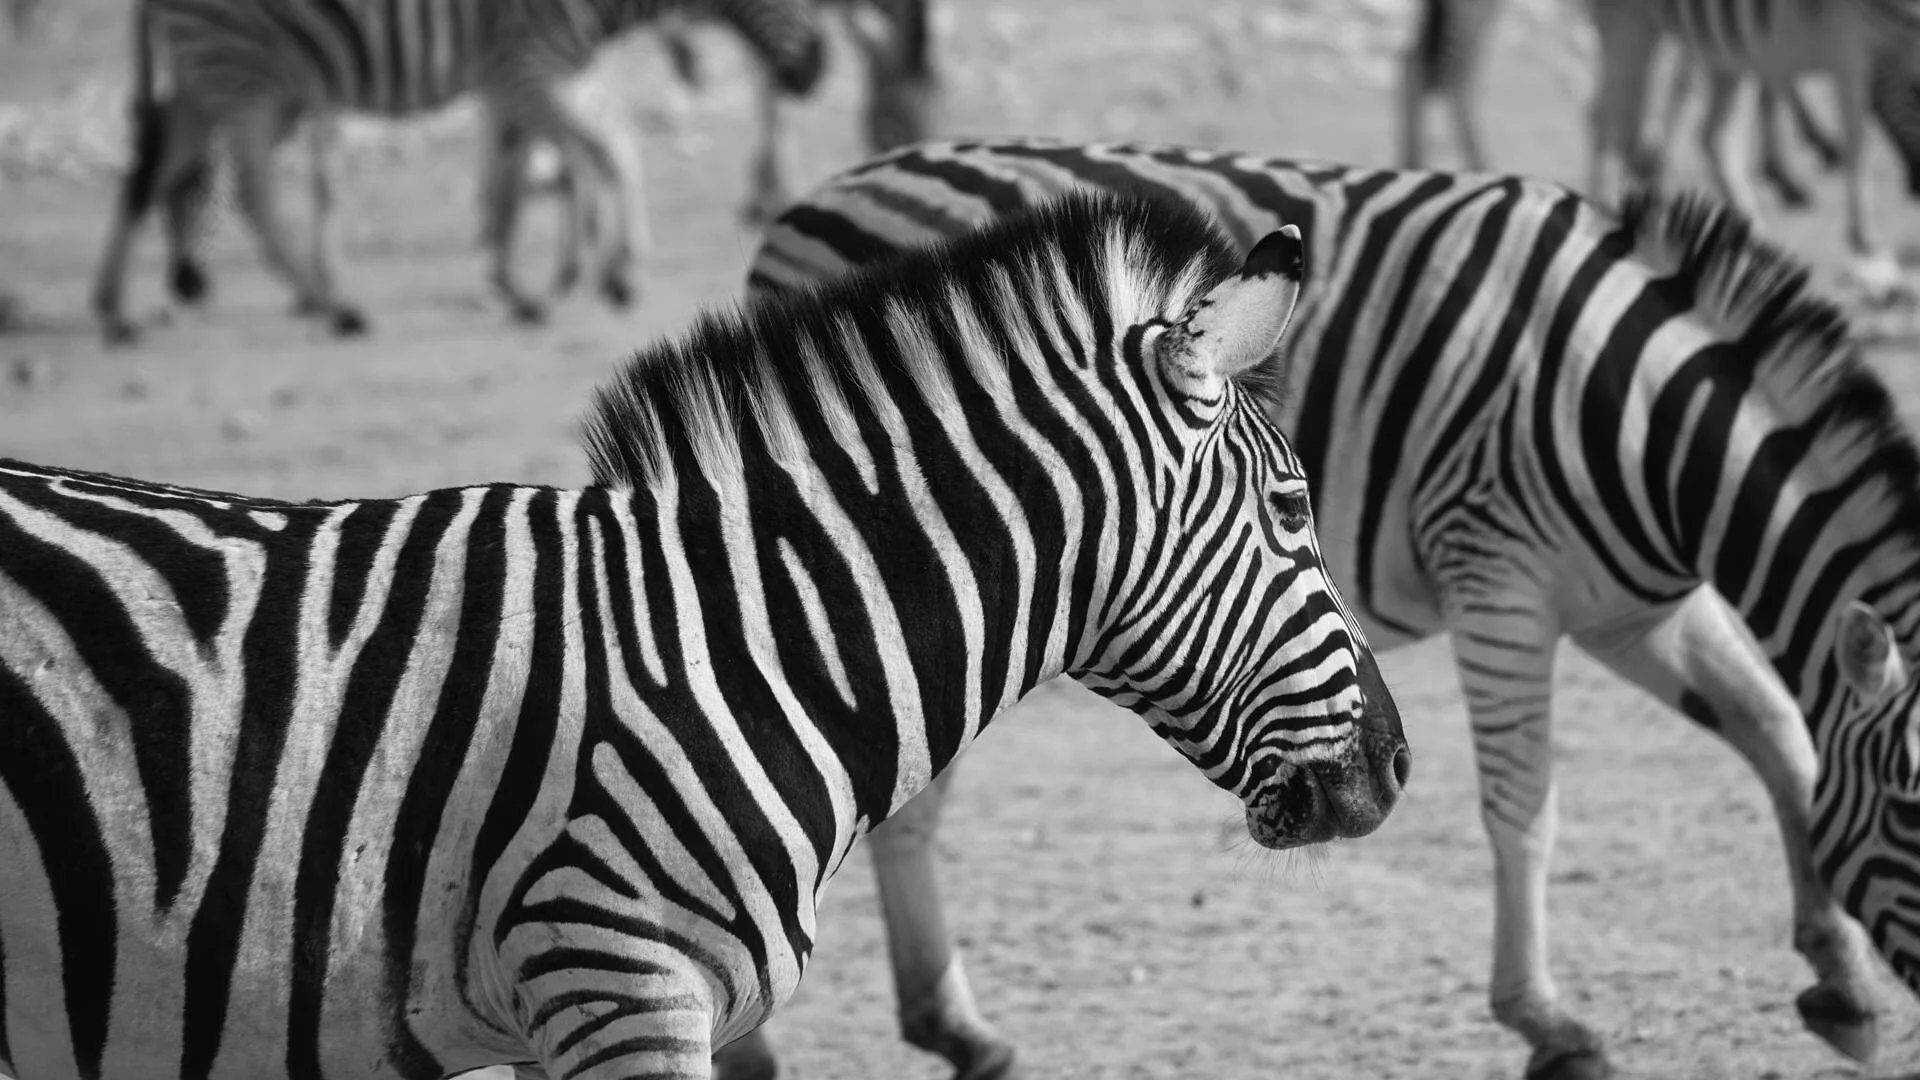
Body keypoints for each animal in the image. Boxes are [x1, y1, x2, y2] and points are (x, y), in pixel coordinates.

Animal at [87, 0, 827, 345]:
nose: (816, 73)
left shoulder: (518, 82)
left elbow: (519, 177)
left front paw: (524, 285)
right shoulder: (533, 67)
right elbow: (613, 151)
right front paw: (620, 272)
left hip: (219, 78)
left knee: (151, 167)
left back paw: (116, 308)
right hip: (243, 72)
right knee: (247, 189)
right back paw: (332, 304)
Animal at [738, 136, 1920, 1080]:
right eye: (1915, 806)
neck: (1640, 422)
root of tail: (818, 195)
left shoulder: (1633, 609)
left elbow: (1777, 735)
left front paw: (1840, 978)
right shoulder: (1496, 573)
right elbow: (1524, 806)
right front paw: (1548, 1021)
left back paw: (951, 1028)